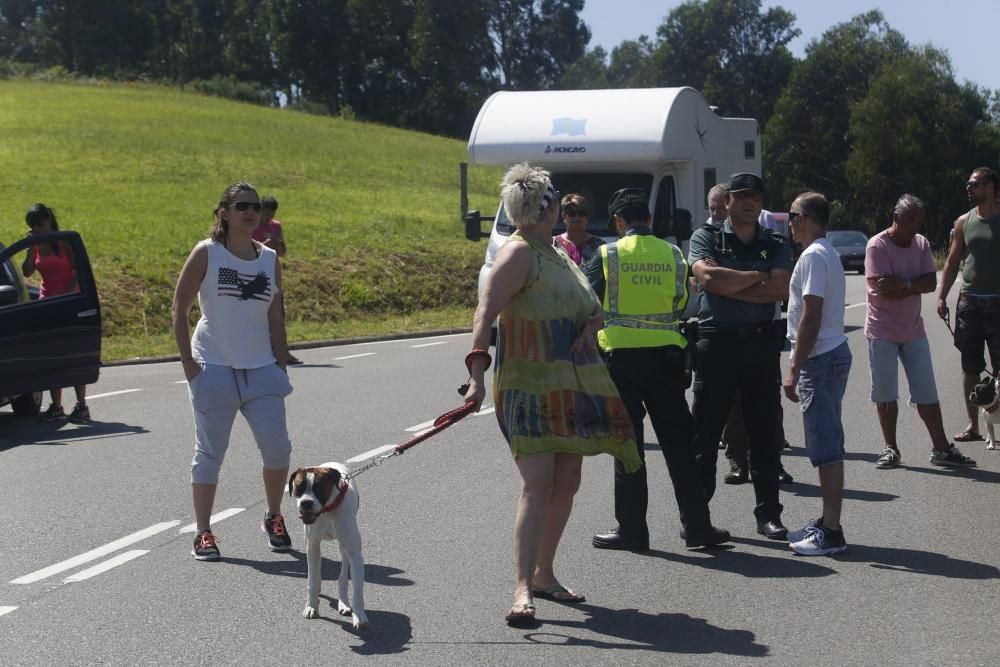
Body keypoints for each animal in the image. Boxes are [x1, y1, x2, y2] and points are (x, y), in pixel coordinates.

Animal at [288, 462, 370, 628]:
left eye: (319, 488)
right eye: (299, 487)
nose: (306, 502)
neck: (328, 510)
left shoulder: (355, 554)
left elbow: (357, 589)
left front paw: (359, 615)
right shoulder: (312, 546)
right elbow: (312, 581)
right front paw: (311, 606)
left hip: (344, 547)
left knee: (343, 575)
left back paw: (344, 603)